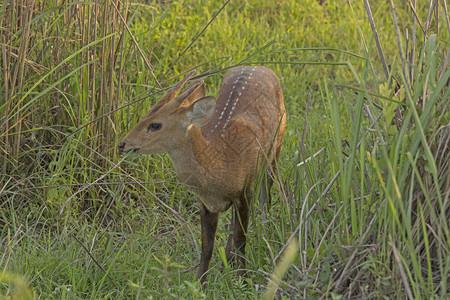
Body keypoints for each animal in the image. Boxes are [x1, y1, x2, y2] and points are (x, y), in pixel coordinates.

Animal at [119, 66, 284, 284]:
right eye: (142, 117)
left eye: (155, 125)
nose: (122, 144)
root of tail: (260, 67)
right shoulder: (204, 203)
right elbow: (207, 248)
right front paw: (199, 284)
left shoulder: (244, 191)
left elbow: (241, 240)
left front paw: (243, 280)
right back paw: (227, 260)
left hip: (275, 149)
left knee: (266, 198)